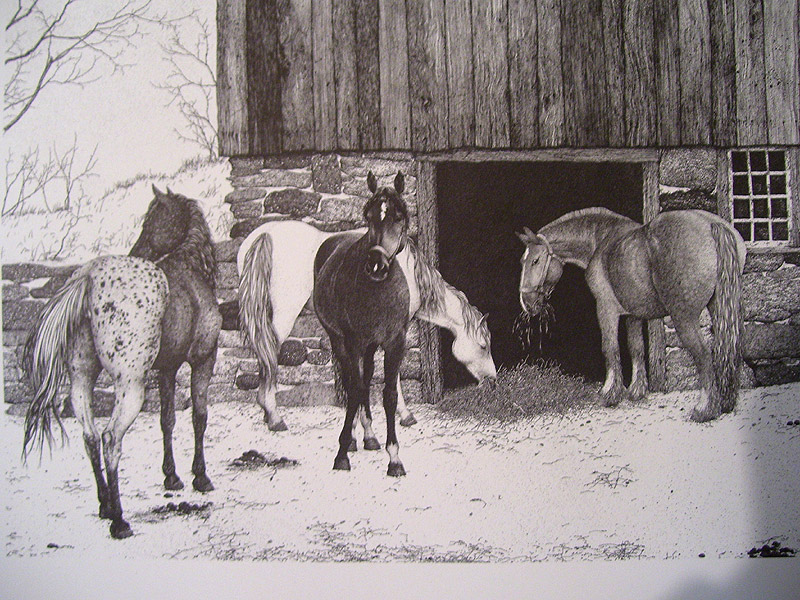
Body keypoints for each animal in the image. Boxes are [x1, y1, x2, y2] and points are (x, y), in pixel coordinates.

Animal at [22, 186, 221, 538]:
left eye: (152, 219)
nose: (138, 251)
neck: (191, 271)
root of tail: (88, 278)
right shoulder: (203, 360)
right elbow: (199, 417)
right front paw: (200, 476)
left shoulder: (167, 369)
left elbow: (167, 420)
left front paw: (172, 476)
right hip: (130, 386)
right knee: (110, 438)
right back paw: (119, 520)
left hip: (81, 379)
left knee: (90, 436)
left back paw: (104, 504)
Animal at [237, 196, 496, 449]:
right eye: (483, 346)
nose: (492, 380)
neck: (409, 274)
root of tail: (266, 235)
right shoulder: (393, 330)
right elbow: (392, 375)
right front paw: (403, 415)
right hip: (285, 315)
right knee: (270, 352)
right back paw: (274, 416)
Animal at [517, 208, 745, 423]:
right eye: (523, 261)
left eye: (536, 261)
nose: (527, 303)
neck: (599, 240)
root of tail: (712, 224)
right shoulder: (633, 315)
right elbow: (636, 349)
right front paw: (637, 391)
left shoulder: (606, 308)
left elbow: (610, 348)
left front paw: (609, 393)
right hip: (719, 306)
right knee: (727, 348)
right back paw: (725, 402)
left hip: (684, 318)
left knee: (704, 355)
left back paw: (704, 410)